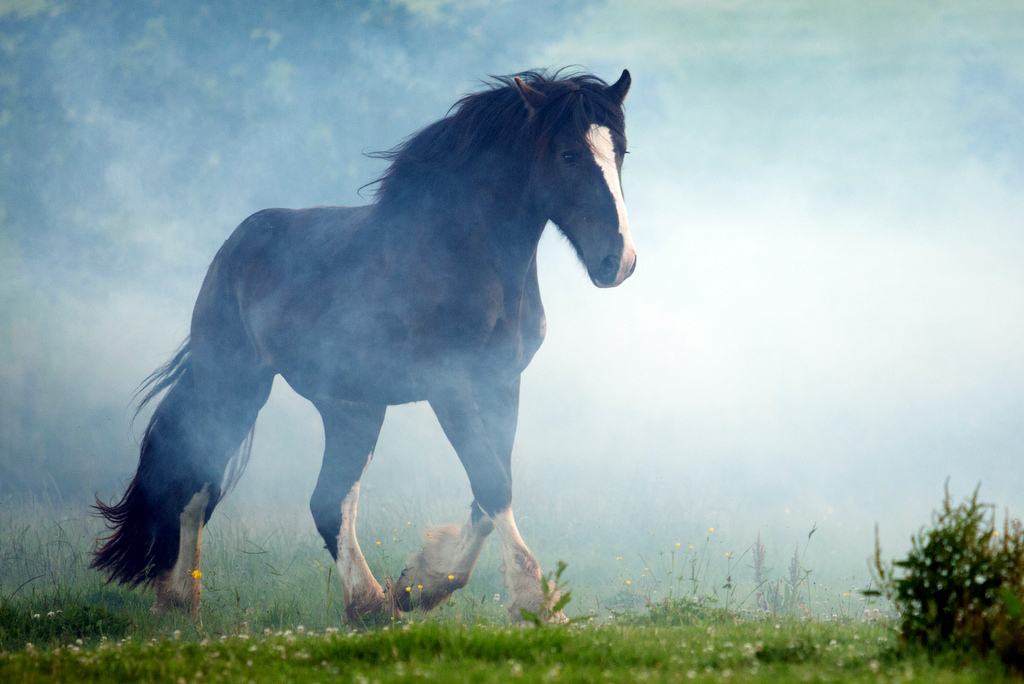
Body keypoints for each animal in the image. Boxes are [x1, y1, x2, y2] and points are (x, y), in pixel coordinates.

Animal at [97, 68, 638, 618]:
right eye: (568, 155)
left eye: (620, 151)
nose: (618, 261)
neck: (465, 254)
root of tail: (234, 246)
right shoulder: (450, 388)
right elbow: (491, 483)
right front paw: (534, 605)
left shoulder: (502, 384)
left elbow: (488, 494)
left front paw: (422, 583)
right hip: (235, 386)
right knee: (196, 486)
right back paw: (185, 603)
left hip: (351, 408)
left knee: (328, 501)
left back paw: (365, 605)